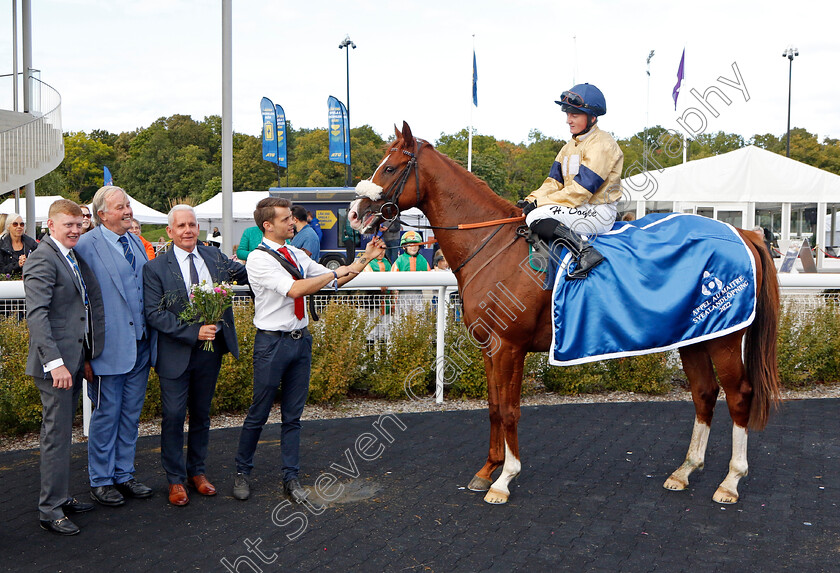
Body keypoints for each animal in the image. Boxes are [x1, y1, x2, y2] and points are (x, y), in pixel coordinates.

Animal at [350, 122, 780, 504]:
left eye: (391, 167)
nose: (355, 212)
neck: (493, 246)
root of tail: (744, 233)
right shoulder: (489, 346)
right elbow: (493, 407)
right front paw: (487, 470)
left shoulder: (509, 346)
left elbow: (510, 410)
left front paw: (504, 479)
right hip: (696, 335)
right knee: (704, 393)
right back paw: (685, 471)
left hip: (725, 337)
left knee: (739, 395)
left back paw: (730, 481)